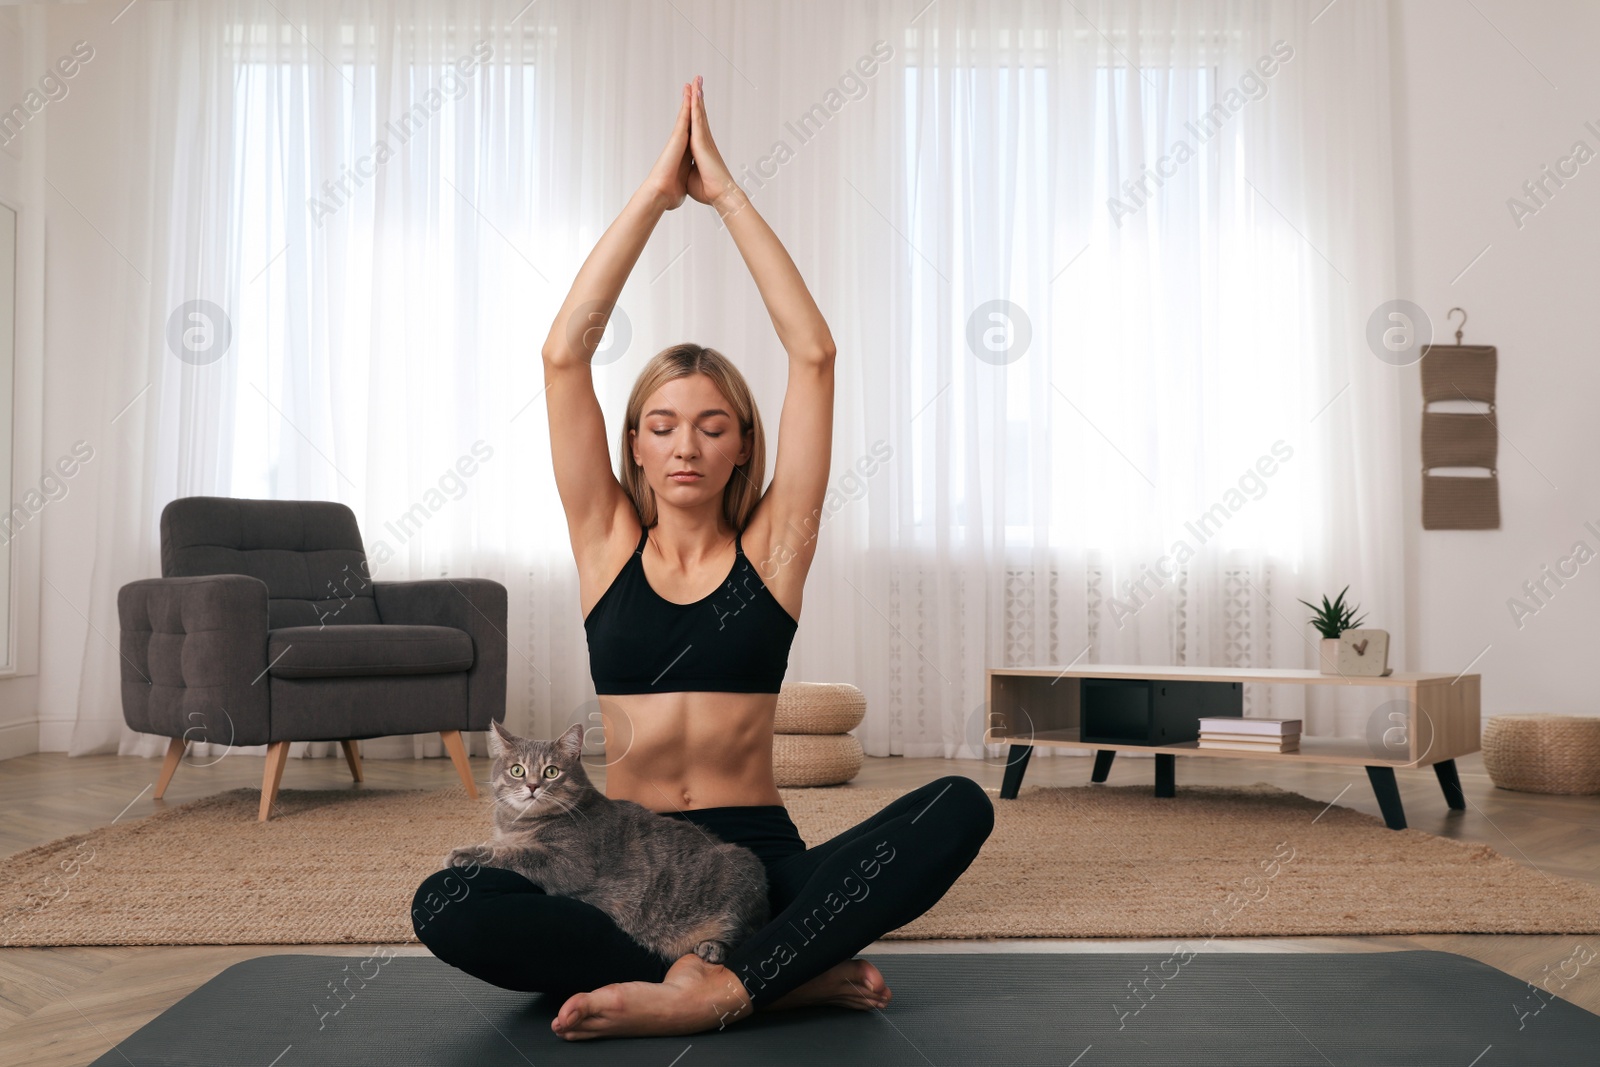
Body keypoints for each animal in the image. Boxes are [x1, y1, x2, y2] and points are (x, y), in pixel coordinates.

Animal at [448, 723, 771, 966]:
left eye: (551, 771)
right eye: (517, 770)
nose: (532, 786)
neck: (518, 823)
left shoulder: (569, 865)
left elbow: (515, 854)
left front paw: (465, 853)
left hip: (744, 879)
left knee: (751, 933)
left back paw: (713, 947)